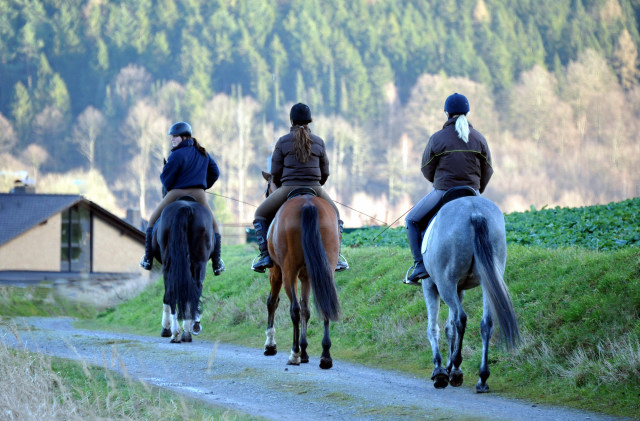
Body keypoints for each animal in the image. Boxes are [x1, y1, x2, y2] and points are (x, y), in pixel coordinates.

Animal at [151, 196, 214, 342]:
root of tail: (186, 207)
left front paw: (166, 329)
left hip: (169, 265)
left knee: (171, 292)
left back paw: (175, 332)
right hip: (199, 264)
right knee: (195, 290)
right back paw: (187, 331)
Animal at [260, 171, 342, 368]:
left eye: (267, 190)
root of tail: (307, 203)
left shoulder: (276, 272)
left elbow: (272, 302)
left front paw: (271, 345)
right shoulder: (307, 276)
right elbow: (307, 309)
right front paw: (305, 351)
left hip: (288, 272)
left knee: (294, 309)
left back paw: (294, 354)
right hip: (325, 269)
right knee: (322, 304)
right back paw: (325, 356)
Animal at [420, 195, 520, 392]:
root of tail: (474, 212)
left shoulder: (430, 286)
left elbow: (434, 328)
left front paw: (440, 370)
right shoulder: (459, 290)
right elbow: (449, 328)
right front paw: (448, 366)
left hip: (445, 284)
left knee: (461, 318)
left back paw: (457, 369)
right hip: (487, 281)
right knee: (486, 323)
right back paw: (482, 377)